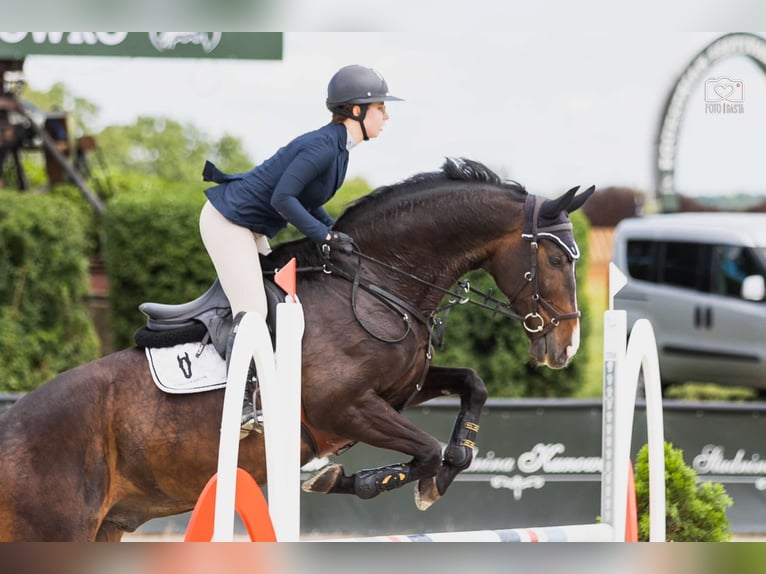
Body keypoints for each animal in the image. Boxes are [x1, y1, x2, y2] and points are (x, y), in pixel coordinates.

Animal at [0, 158, 596, 540]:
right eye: (556, 259)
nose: (565, 347)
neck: (376, 283)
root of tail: (11, 427)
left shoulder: (399, 392)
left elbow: (472, 388)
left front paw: (442, 476)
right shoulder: (347, 408)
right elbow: (426, 450)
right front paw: (346, 478)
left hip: (106, 529)